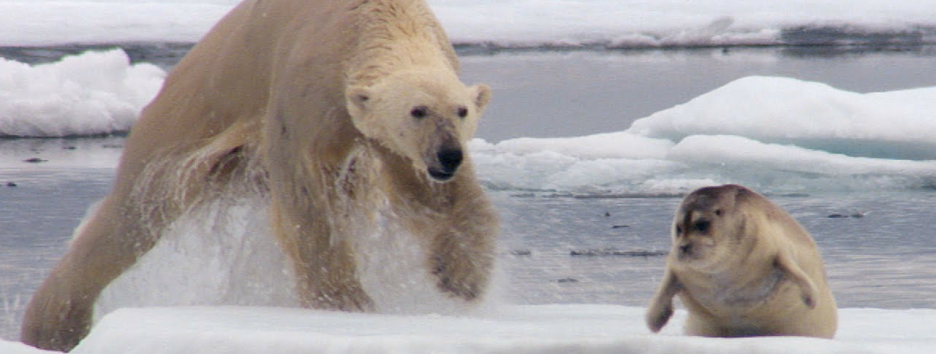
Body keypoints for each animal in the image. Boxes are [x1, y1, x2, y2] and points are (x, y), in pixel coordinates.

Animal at [22, 0, 498, 350]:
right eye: (418, 111)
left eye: (461, 110)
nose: (449, 154)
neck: (372, 18)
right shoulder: (307, 89)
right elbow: (307, 195)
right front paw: (346, 302)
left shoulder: (387, 137)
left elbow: (435, 196)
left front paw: (462, 278)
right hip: (190, 114)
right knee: (133, 215)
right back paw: (51, 326)